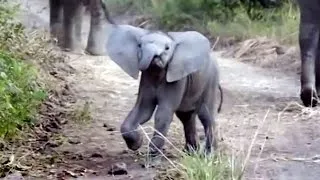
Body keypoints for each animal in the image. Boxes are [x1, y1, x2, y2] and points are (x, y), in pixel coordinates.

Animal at [106, 23, 224, 155]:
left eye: (167, 48)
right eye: (139, 46)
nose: (155, 57)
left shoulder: (177, 79)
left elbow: (163, 113)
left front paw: (152, 153)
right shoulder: (146, 78)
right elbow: (143, 110)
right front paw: (137, 143)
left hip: (211, 80)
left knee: (206, 115)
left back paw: (209, 155)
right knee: (186, 116)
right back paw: (190, 153)